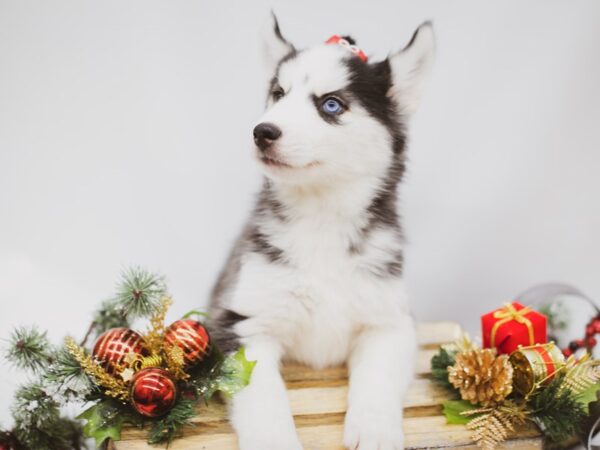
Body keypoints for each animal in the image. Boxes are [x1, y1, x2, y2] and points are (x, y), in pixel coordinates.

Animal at [209, 14, 434, 450]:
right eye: (278, 94)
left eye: (331, 104)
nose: (262, 131)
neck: (321, 220)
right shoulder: (241, 321)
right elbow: (263, 396)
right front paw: (274, 441)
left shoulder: (390, 322)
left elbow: (378, 379)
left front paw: (375, 430)